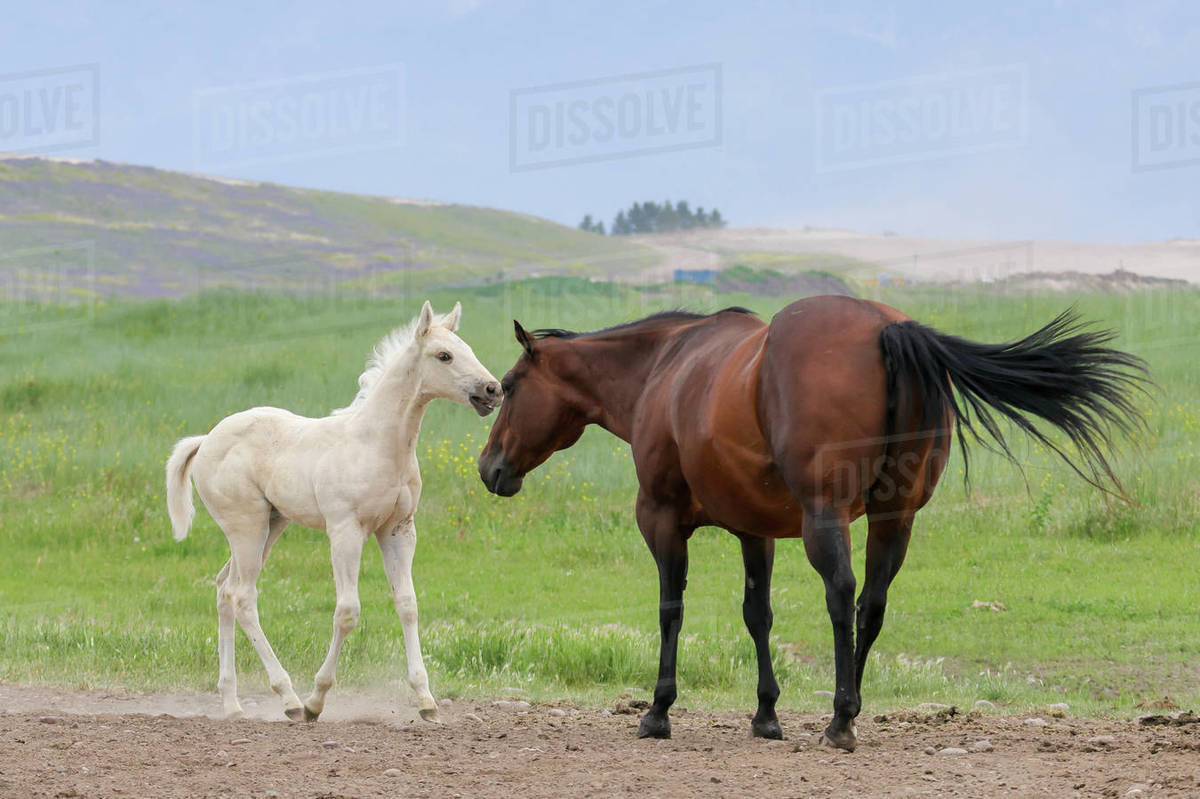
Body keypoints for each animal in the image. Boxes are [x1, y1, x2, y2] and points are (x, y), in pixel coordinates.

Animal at [166, 301, 502, 722]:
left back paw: (232, 704)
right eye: (444, 355)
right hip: (247, 527)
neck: (377, 445)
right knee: (242, 596)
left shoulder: (399, 530)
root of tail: (207, 439)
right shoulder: (345, 531)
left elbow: (407, 605)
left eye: (466, 348)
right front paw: (316, 700)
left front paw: (426, 700)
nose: (493, 389)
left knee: (224, 588)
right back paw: (290, 699)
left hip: (271, 525)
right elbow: (347, 611)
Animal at [477, 294, 1148, 751]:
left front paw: (659, 711)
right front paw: (766, 715)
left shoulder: (662, 520)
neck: (665, 369)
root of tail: (887, 328)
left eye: (508, 386)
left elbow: (672, 610)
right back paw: (846, 712)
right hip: (893, 521)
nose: (489, 468)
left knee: (842, 593)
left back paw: (842, 718)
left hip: (828, 522)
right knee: (871, 603)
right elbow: (758, 615)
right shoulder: (756, 531)